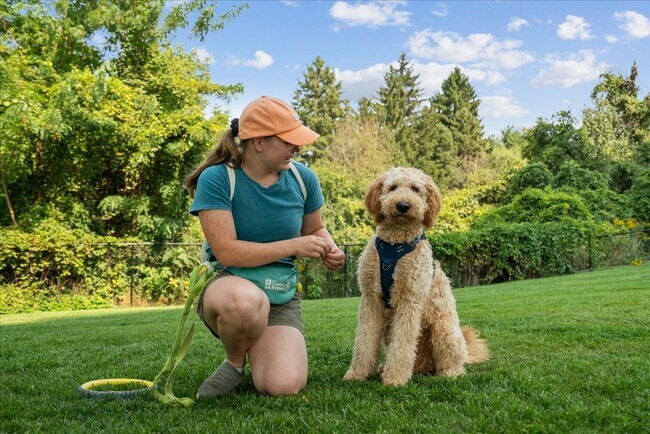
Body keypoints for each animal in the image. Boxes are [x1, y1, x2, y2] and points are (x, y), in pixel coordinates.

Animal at [343, 168, 489, 386]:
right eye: (393, 187)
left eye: (415, 189)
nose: (403, 205)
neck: (394, 245)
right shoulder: (371, 300)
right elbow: (364, 340)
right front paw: (357, 373)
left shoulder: (409, 300)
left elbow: (402, 343)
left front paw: (395, 378)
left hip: (444, 330)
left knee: (452, 362)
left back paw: (449, 373)